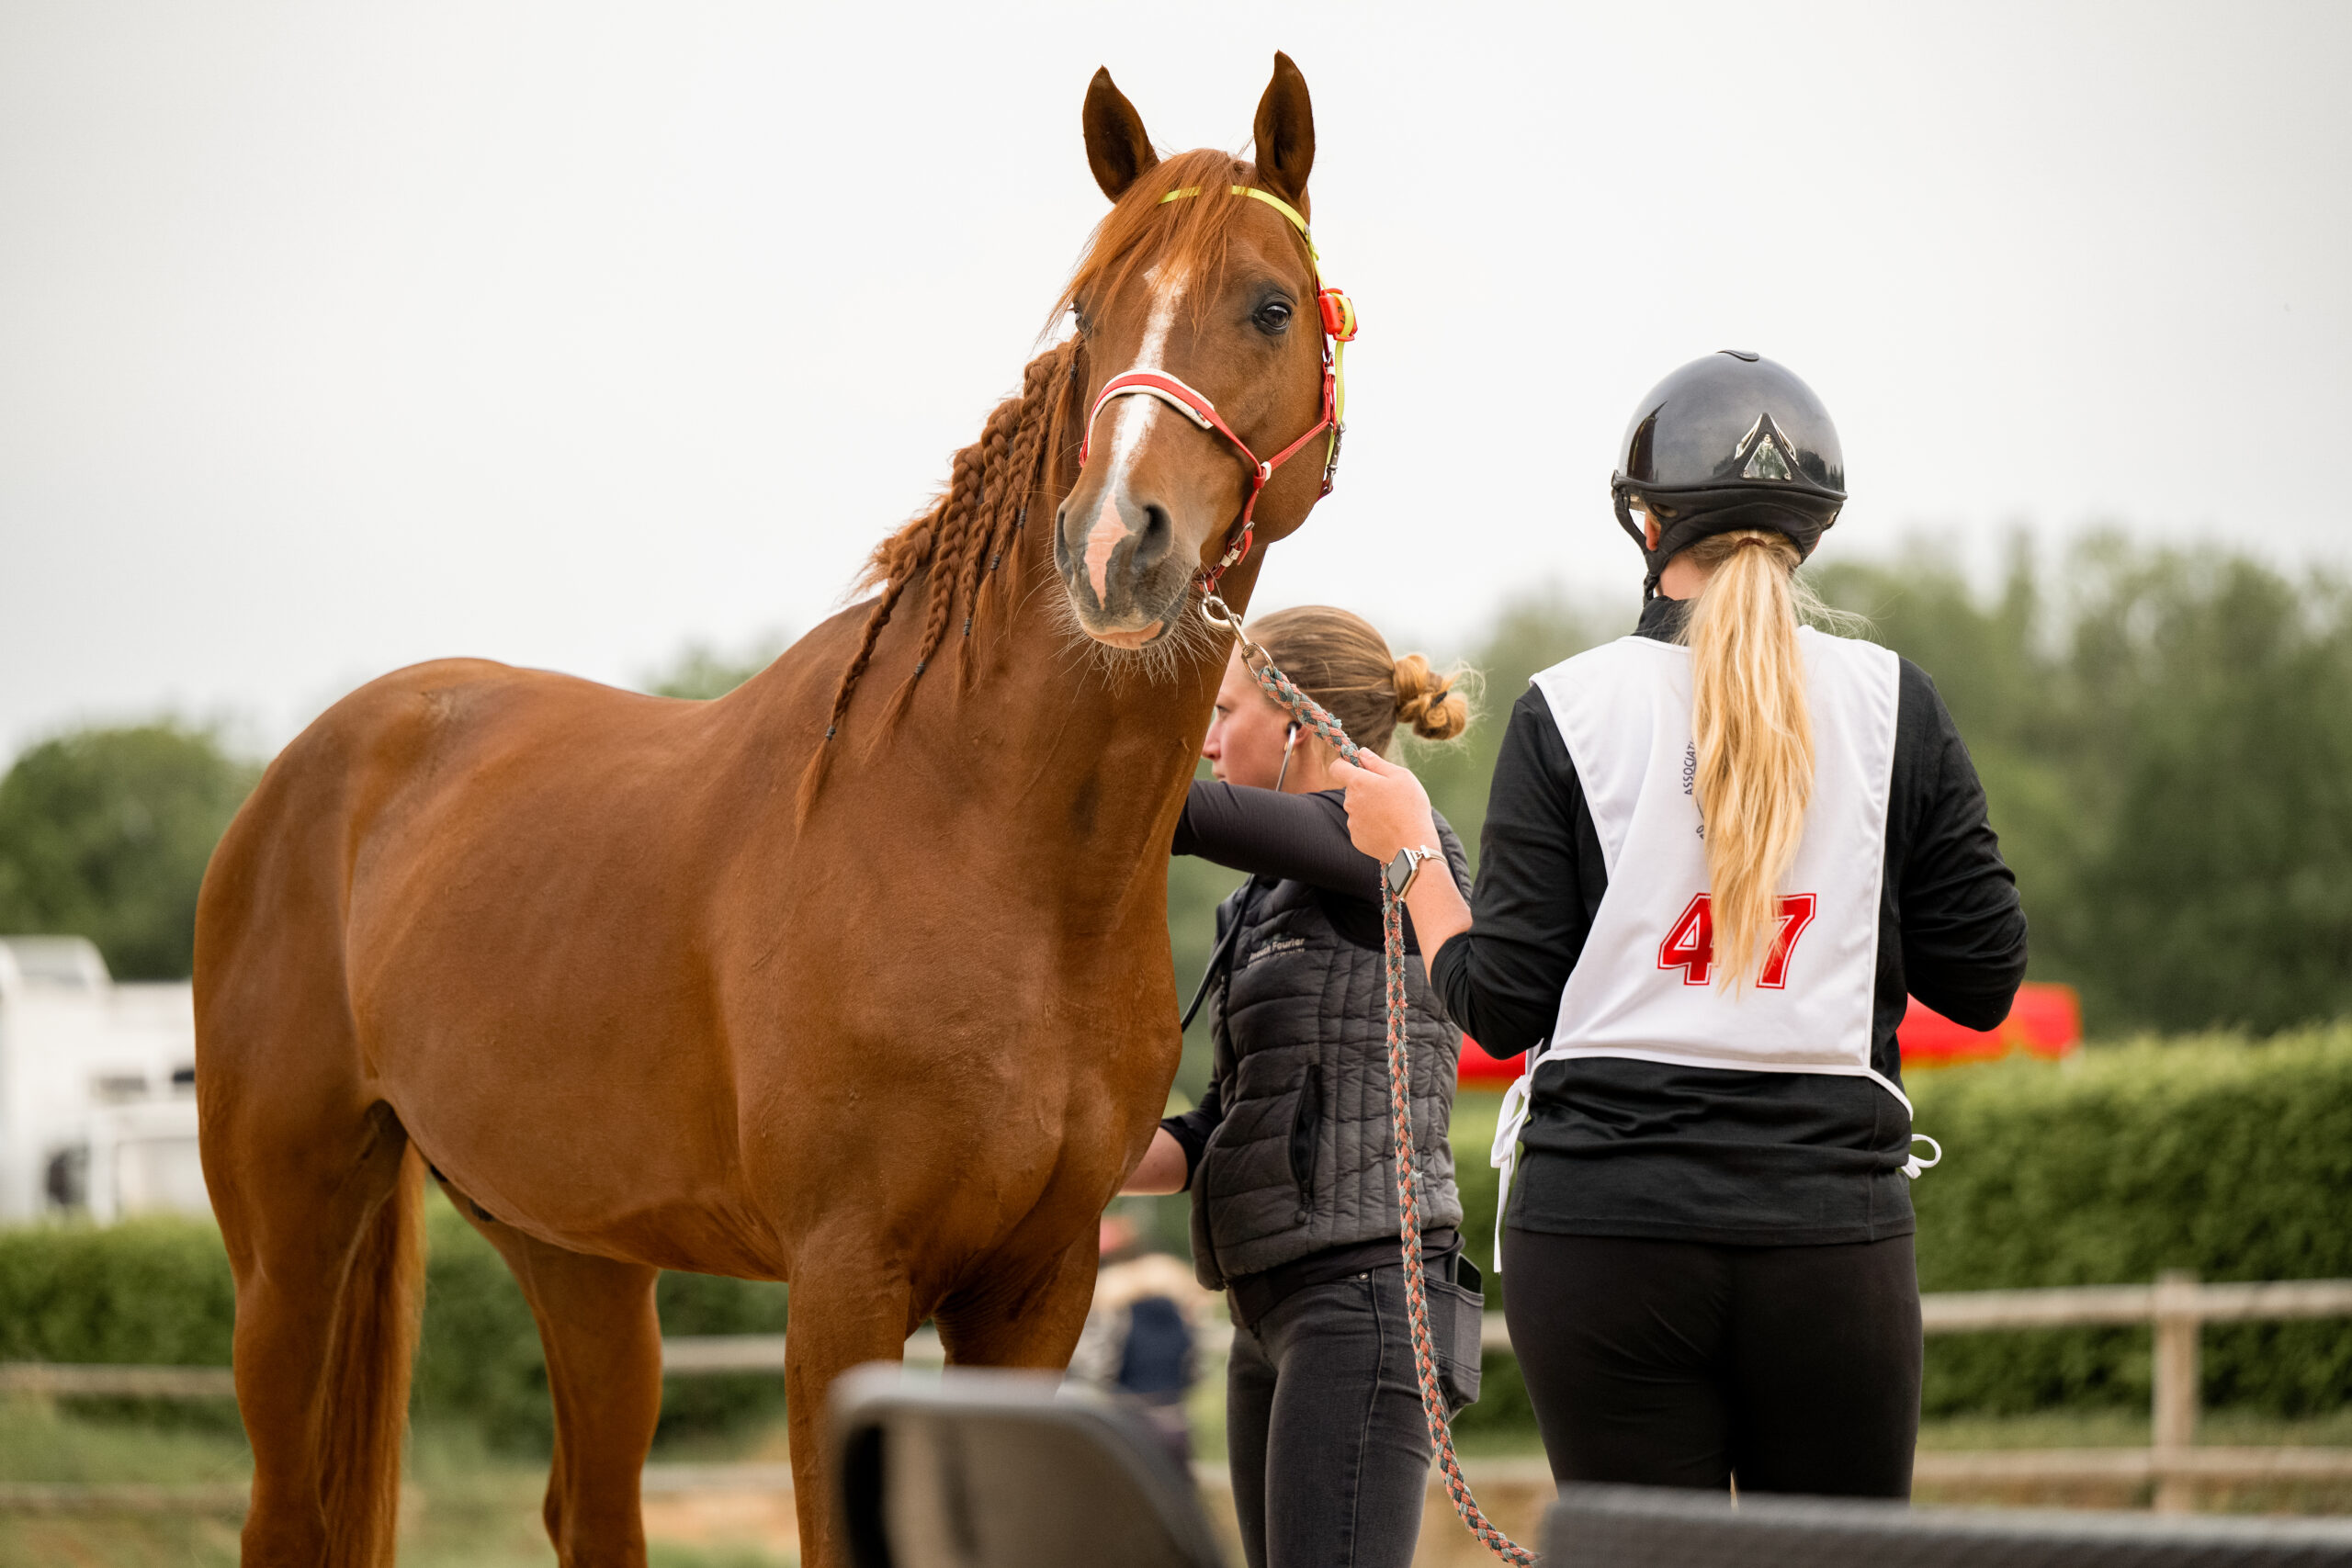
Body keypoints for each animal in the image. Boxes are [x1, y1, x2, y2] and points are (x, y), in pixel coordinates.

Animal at [195, 52, 1345, 1568]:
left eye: (1268, 304)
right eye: (1091, 313)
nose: (1114, 543)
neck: (985, 843)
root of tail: (307, 771)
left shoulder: (1036, 1286)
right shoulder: (842, 1284)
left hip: (578, 1253)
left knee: (591, 1502)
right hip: (287, 1243)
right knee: (284, 1503)